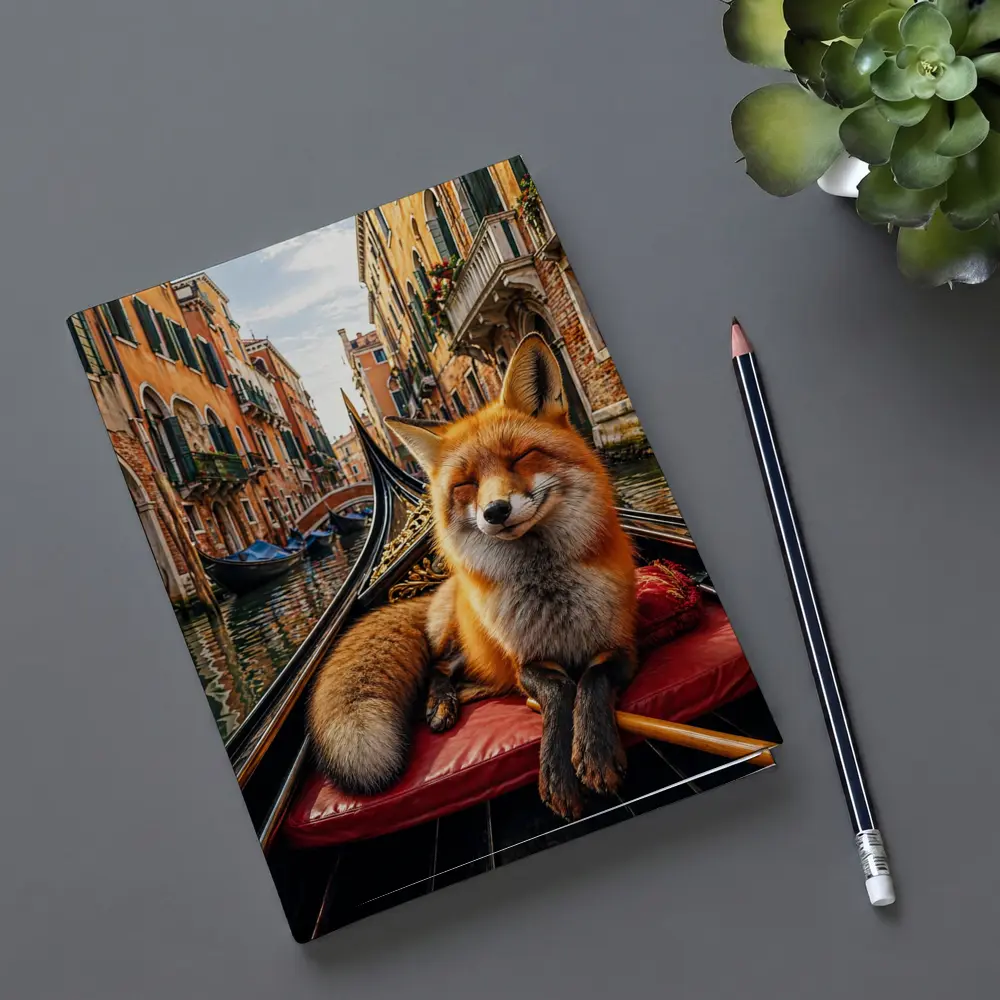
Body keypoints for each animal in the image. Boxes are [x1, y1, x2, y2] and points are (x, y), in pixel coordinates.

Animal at [307, 334, 637, 820]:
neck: (551, 594)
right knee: (438, 669)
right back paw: (441, 703)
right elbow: (560, 691)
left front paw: (593, 754)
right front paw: (557, 775)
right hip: (459, 642)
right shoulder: (527, 663)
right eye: (466, 484)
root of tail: (438, 590)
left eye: (520, 457)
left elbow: (591, 681)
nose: (495, 511)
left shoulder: (622, 645)